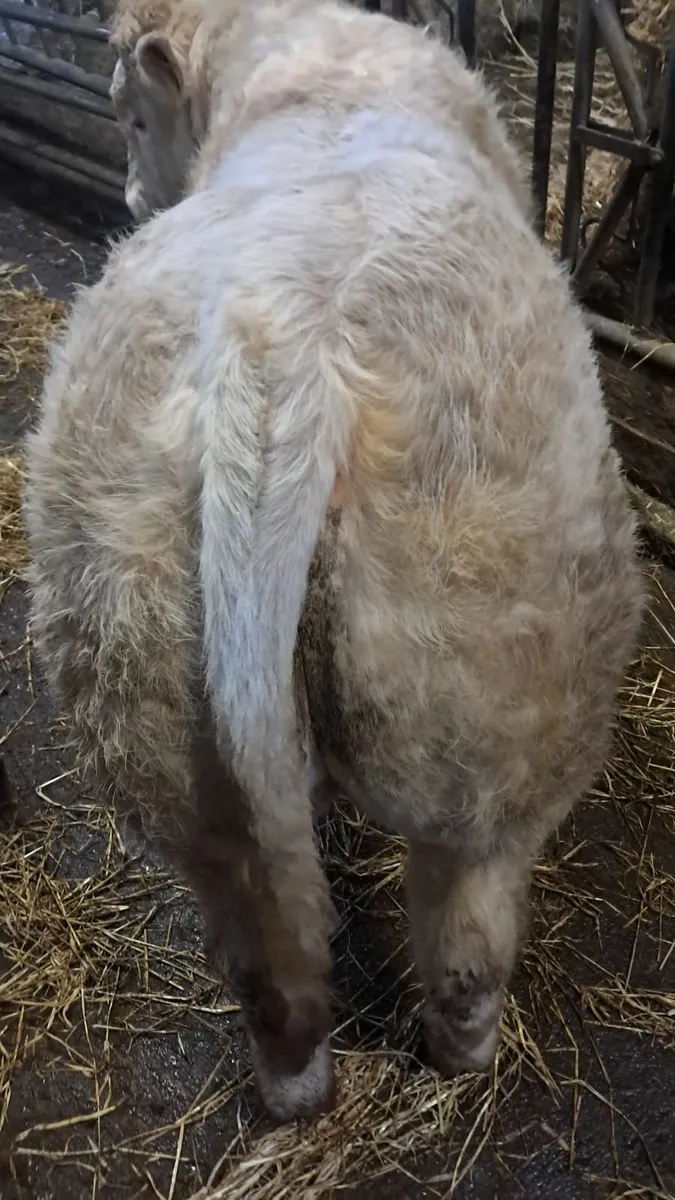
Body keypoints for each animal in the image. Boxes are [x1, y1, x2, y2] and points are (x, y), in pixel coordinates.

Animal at [24, 0, 644, 1123]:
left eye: (129, 117)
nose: (130, 199)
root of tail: (282, 347)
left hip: (145, 682)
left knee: (267, 961)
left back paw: (295, 1090)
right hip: (495, 694)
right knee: (467, 941)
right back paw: (462, 1060)